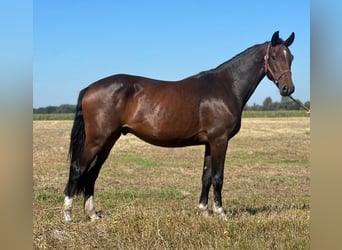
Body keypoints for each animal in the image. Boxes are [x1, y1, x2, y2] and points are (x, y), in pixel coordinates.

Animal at [62, 30, 296, 221]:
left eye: (291, 57)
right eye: (274, 56)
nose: (288, 89)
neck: (226, 86)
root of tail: (89, 88)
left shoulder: (209, 143)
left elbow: (206, 177)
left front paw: (204, 211)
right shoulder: (219, 141)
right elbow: (218, 177)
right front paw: (221, 213)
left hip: (108, 141)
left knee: (92, 174)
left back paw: (93, 215)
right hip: (97, 140)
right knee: (78, 169)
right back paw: (68, 215)